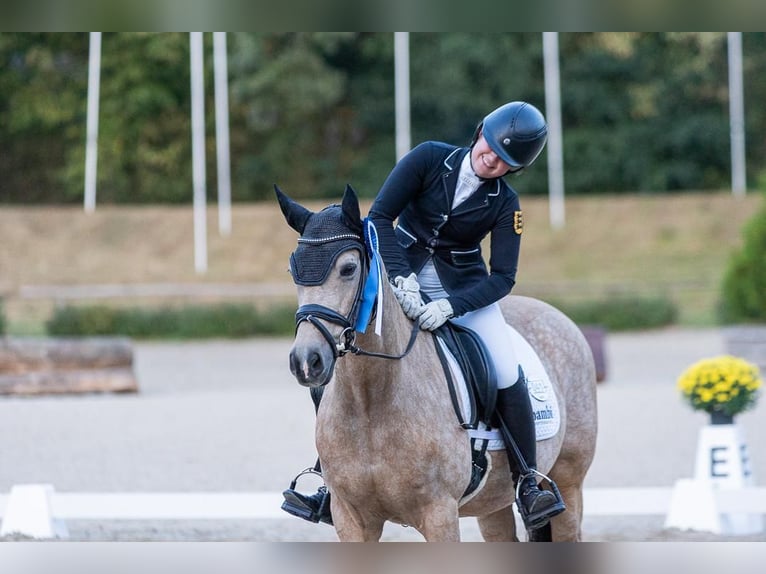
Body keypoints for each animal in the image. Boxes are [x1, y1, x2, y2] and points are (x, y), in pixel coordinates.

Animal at [276, 186, 600, 544]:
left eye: (348, 269)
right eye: (293, 271)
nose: (307, 361)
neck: (370, 401)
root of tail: (554, 313)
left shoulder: (439, 513)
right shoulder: (351, 517)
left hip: (568, 480)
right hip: (493, 502)